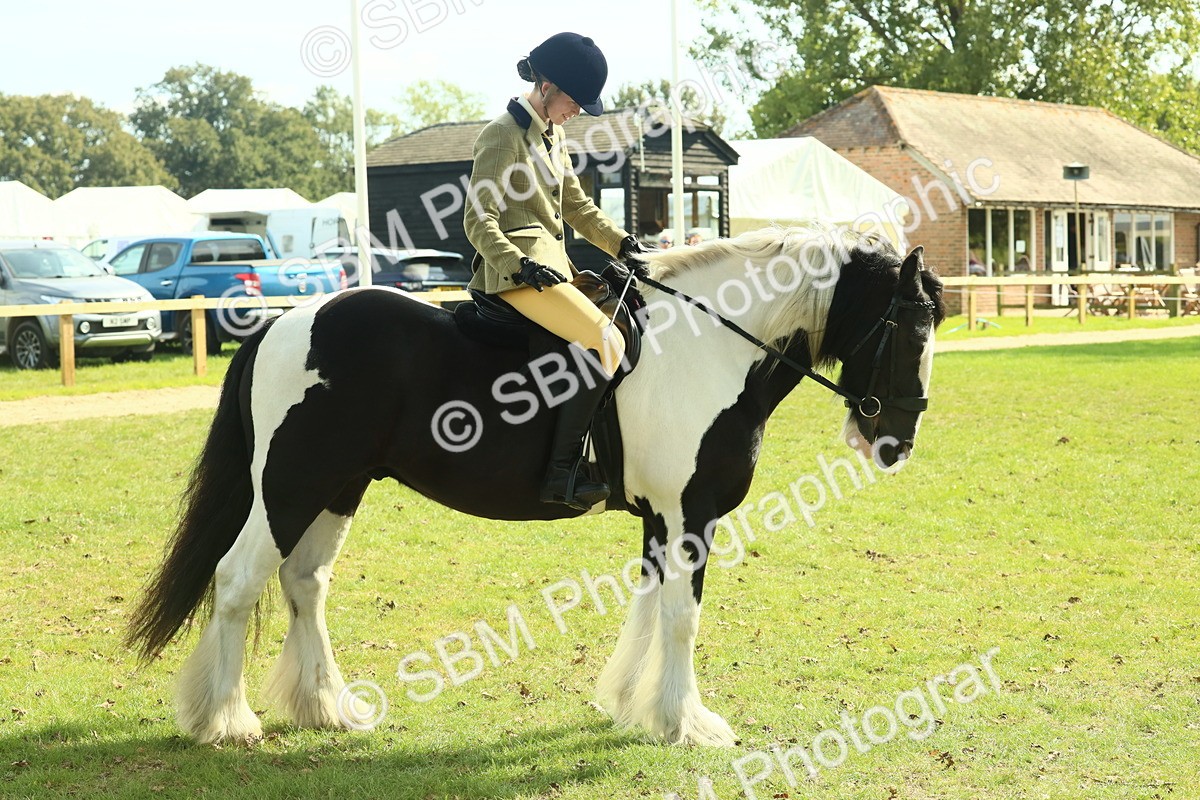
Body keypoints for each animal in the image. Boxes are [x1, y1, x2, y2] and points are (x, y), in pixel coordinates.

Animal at [126, 224, 945, 747]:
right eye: (911, 330)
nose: (898, 441)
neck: (710, 345)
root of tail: (280, 325)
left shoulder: (661, 517)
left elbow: (649, 608)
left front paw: (634, 707)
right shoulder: (691, 513)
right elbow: (682, 617)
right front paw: (688, 724)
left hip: (339, 487)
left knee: (304, 582)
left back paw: (327, 708)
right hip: (292, 486)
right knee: (237, 581)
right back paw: (224, 722)